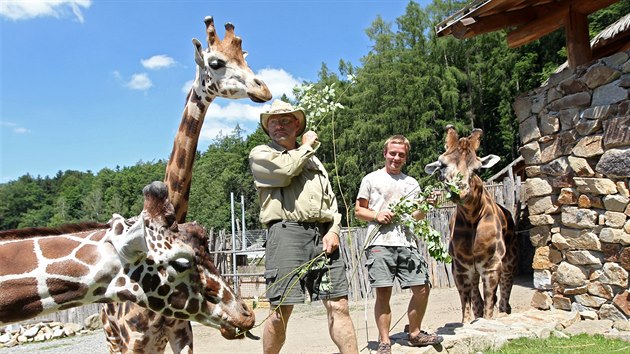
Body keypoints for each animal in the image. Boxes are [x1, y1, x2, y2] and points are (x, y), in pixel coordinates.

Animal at [100, 15, 272, 352]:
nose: (265, 89)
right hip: (114, 340)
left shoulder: (181, 332)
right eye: (216, 62)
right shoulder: (133, 342)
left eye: (246, 59)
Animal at [424, 125, 520, 324]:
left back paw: (504, 313)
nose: (459, 191)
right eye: (442, 165)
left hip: (509, 261)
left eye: (477, 168)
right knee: (478, 298)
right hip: (474, 270)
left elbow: (490, 302)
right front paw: (468, 323)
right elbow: (467, 305)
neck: (471, 218)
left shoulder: (491, 264)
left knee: (504, 293)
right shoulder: (460, 267)